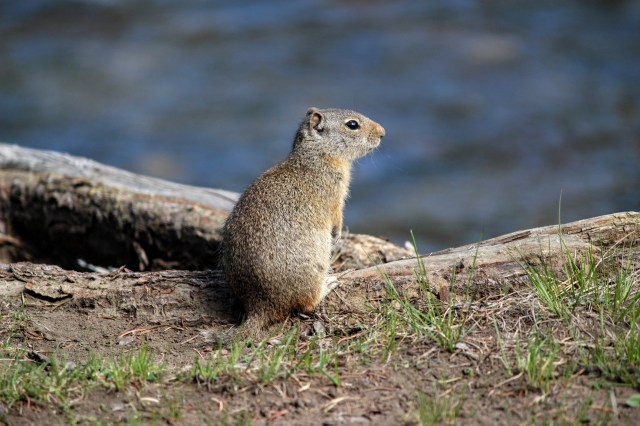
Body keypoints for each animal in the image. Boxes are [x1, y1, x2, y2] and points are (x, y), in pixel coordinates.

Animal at [221, 107, 385, 340]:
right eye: (352, 124)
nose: (383, 132)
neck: (317, 156)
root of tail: (259, 306)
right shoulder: (335, 197)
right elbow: (336, 216)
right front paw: (337, 234)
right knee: (308, 303)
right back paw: (329, 283)